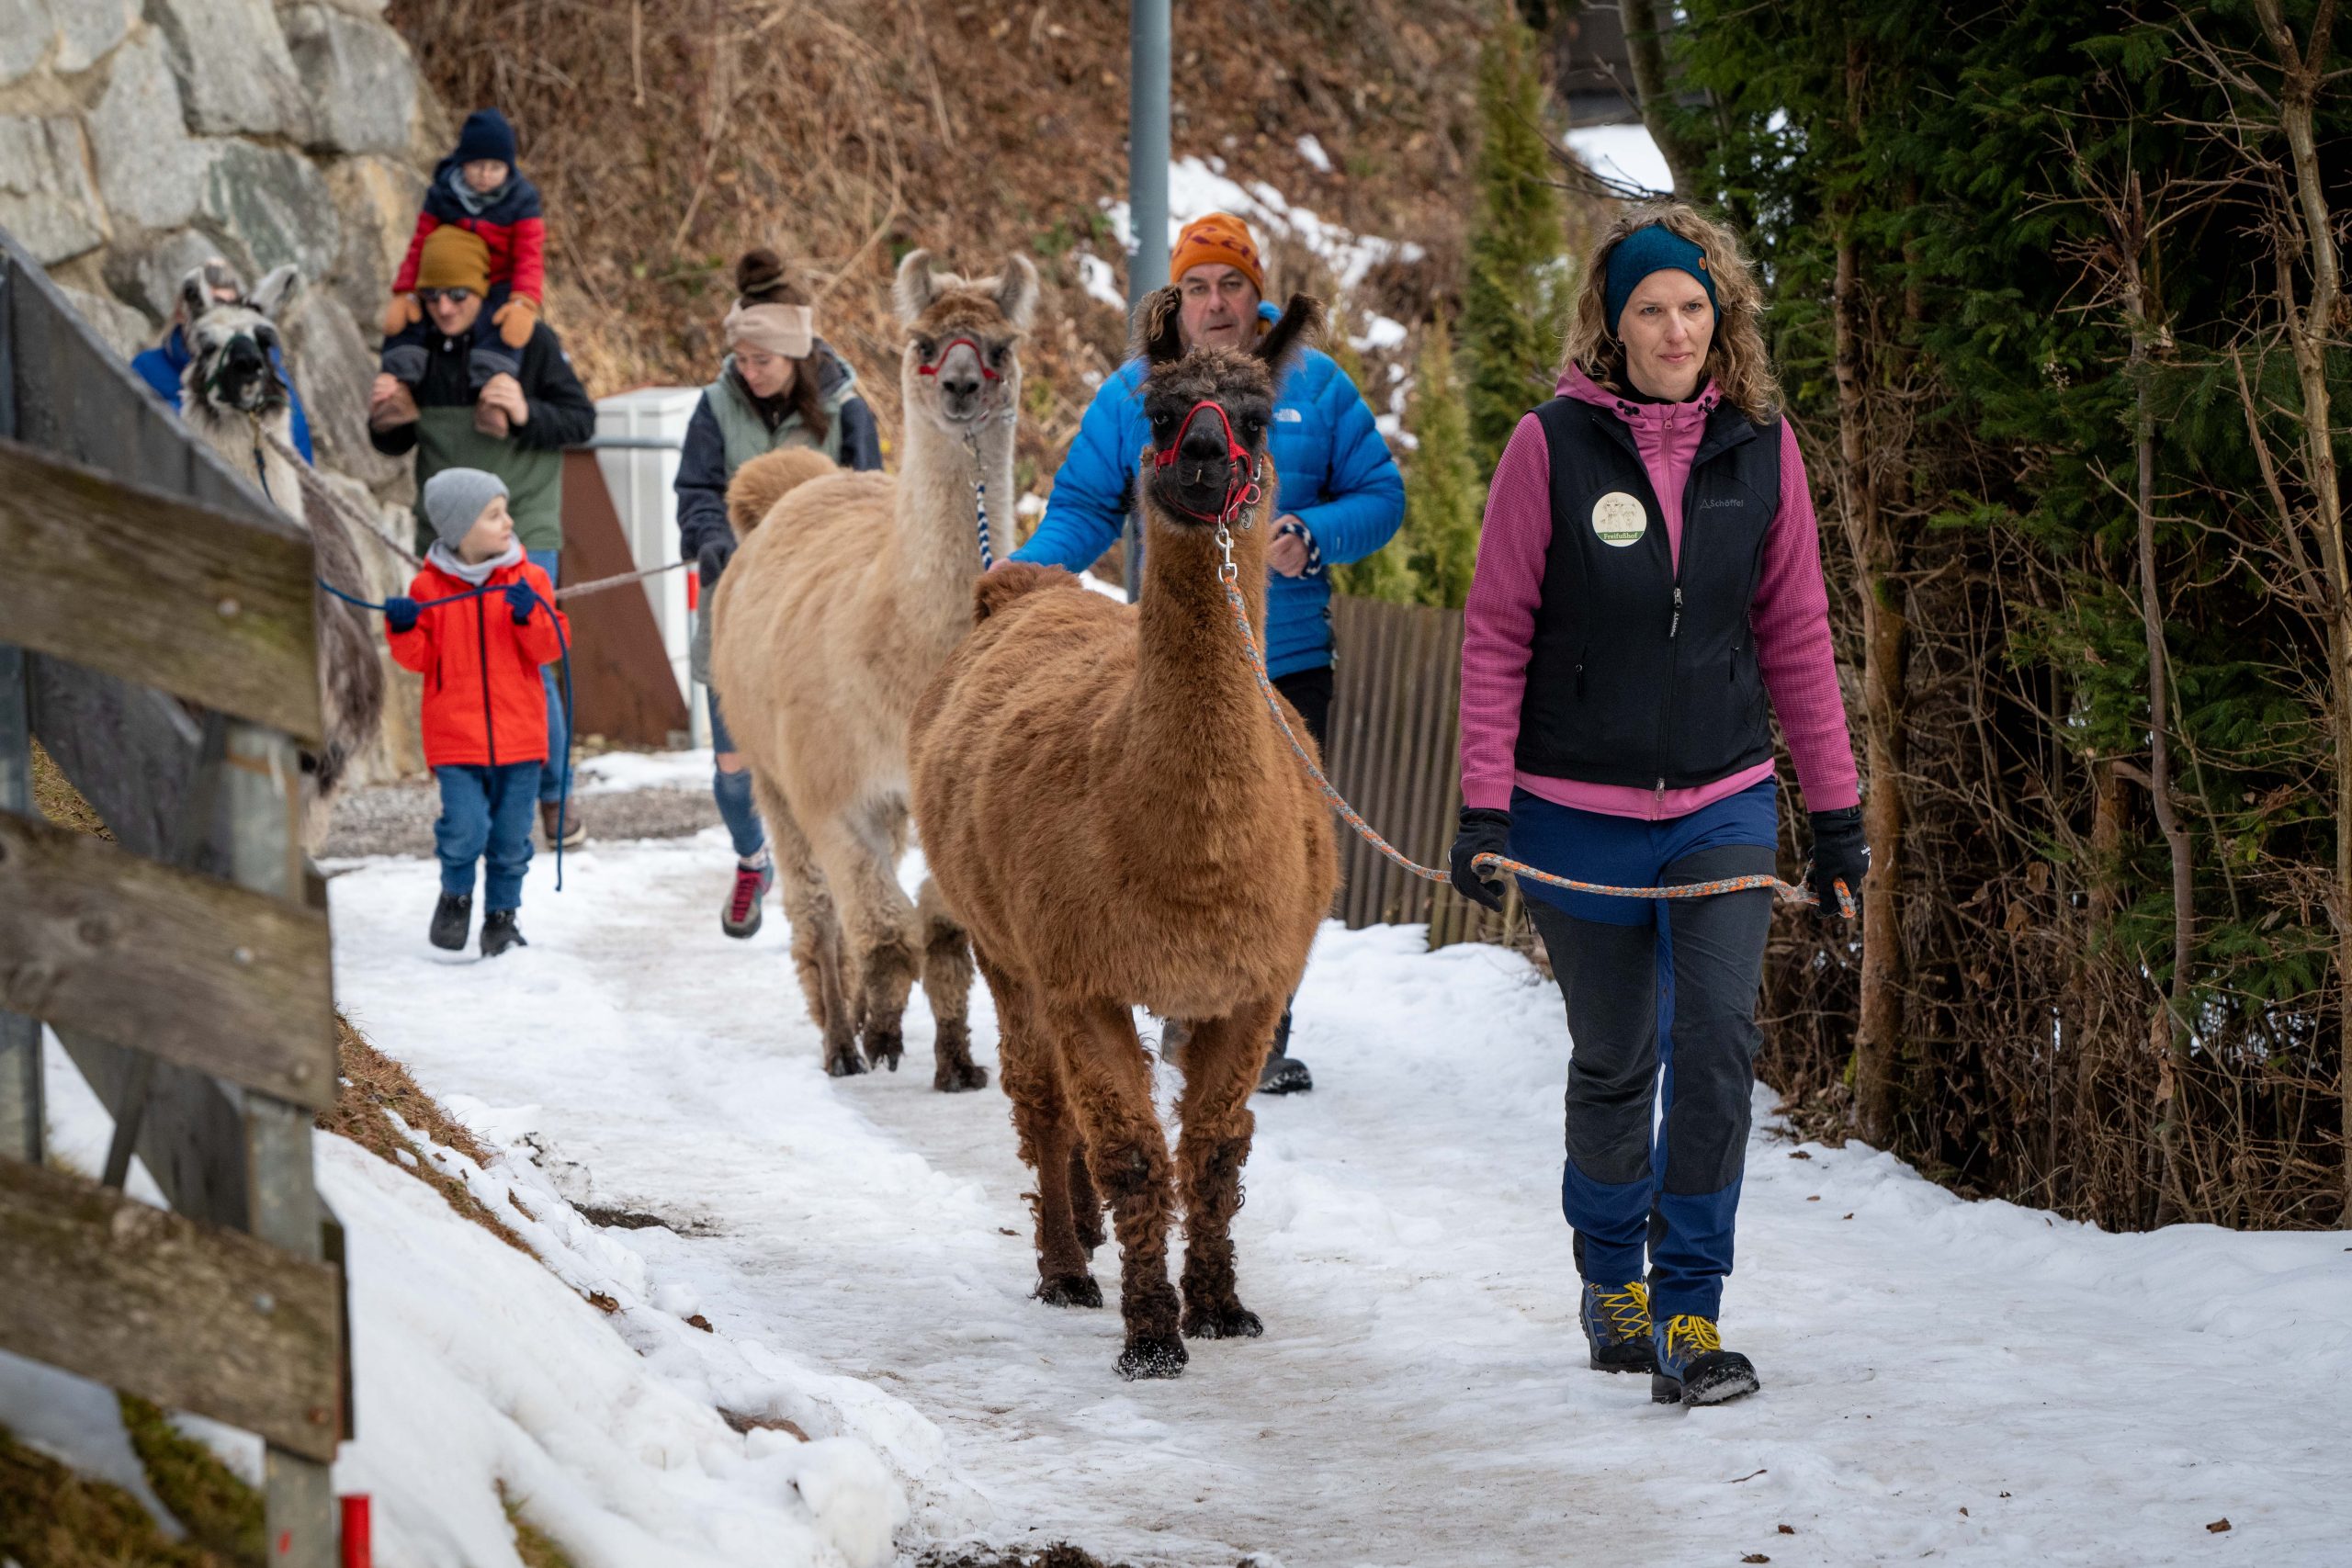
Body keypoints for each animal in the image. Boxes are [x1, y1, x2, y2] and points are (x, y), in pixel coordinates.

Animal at [710, 249, 1037, 1091]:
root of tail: (796, 484)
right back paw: (840, 1037)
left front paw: (956, 1059)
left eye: (1001, 345)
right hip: (773, 773)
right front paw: (880, 1033)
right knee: (820, 912)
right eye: (924, 342)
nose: (961, 386)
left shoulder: (940, 797)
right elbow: (887, 929)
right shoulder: (829, 791)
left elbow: (943, 931)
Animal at [908, 289, 1340, 1379]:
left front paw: (1221, 1306)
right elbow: (1137, 1154)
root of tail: (1029, 589)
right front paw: (1149, 1334)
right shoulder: (1082, 971)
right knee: (1038, 1096)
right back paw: (1067, 1264)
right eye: (1162, 411)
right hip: (1006, 943)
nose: (1204, 461)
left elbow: (1216, 1153)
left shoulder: (1252, 985)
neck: (1191, 862)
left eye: (1257, 418)